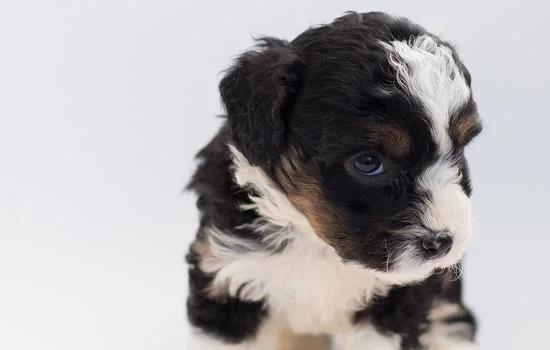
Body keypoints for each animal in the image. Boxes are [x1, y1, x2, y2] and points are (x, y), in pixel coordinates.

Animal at [185, 10, 484, 350]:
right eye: (368, 162)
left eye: (459, 149)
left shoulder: (397, 303)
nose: (442, 242)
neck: (316, 243)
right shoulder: (225, 278)